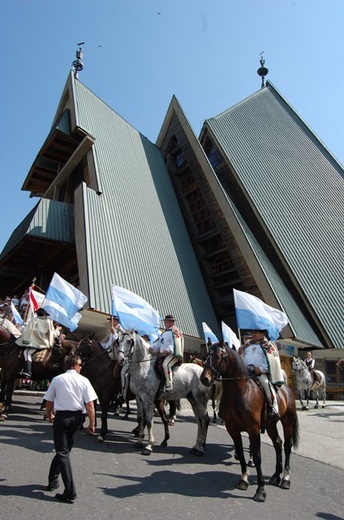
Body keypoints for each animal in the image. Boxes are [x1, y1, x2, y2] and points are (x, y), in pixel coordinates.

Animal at [200, 340, 300, 502]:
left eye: (218, 356)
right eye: (205, 357)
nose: (205, 379)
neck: (239, 392)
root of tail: (286, 388)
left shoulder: (253, 430)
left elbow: (257, 457)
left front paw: (260, 491)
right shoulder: (233, 429)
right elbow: (241, 454)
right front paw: (244, 480)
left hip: (287, 421)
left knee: (287, 446)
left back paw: (285, 479)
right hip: (271, 425)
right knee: (278, 443)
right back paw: (275, 476)